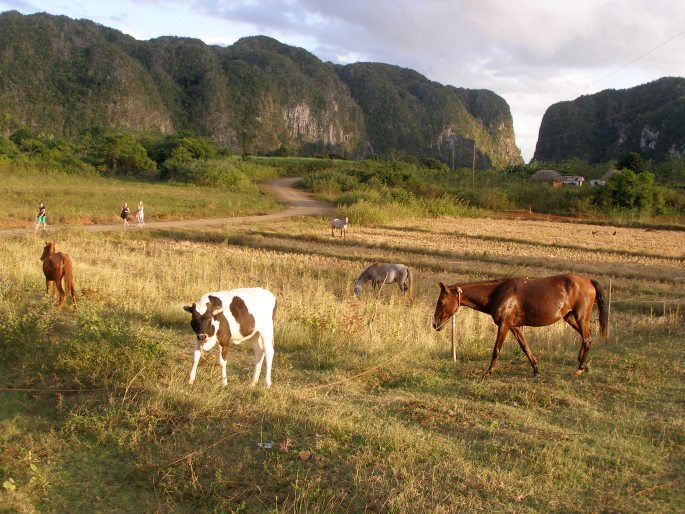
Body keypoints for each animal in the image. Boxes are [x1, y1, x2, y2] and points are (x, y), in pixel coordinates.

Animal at [432, 274, 608, 374]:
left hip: (580, 317)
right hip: (570, 317)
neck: (498, 292)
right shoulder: (515, 327)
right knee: (586, 338)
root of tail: (589, 281)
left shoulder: (504, 325)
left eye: (441, 302)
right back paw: (583, 363)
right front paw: (536, 369)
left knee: (587, 339)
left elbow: (496, 349)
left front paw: (489, 371)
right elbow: (525, 347)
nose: (435, 323)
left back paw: (580, 368)